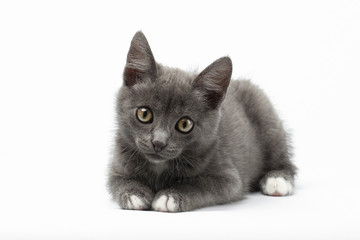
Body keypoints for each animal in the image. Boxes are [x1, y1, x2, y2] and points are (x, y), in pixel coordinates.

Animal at [107, 30, 298, 212]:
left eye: (185, 124)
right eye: (144, 114)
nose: (158, 143)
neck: (159, 165)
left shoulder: (229, 178)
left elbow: (199, 184)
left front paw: (170, 196)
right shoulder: (116, 166)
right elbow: (117, 181)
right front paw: (134, 194)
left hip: (266, 118)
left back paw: (277, 179)